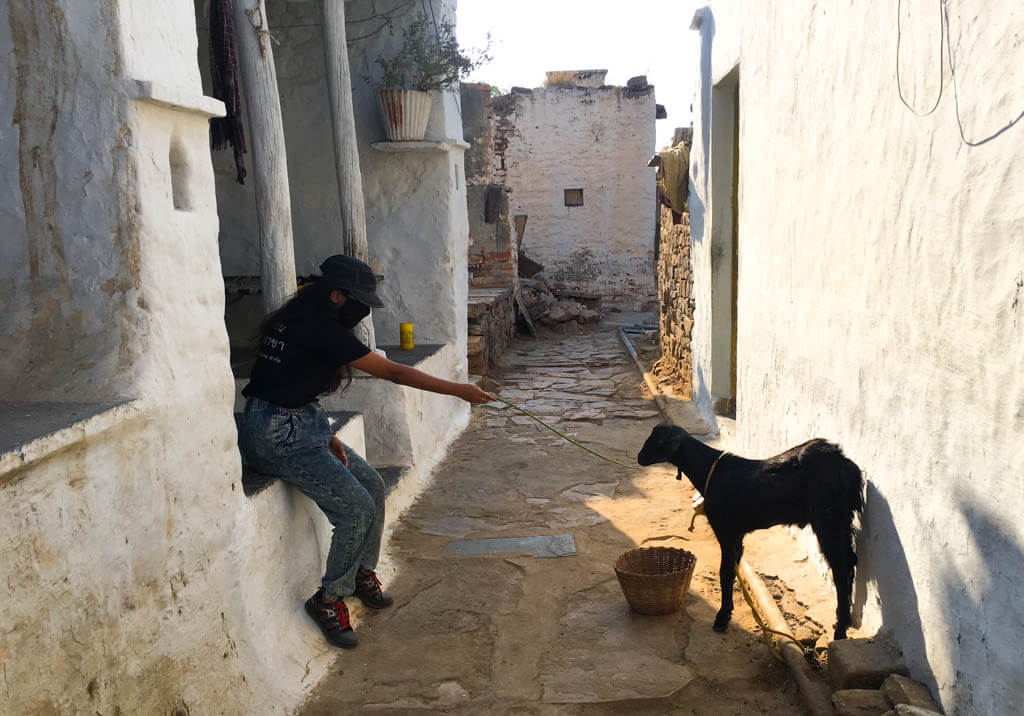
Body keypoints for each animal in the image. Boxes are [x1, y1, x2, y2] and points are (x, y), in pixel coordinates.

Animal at [638, 426, 864, 639]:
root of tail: (847, 466)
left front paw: (721, 618)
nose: (640, 458)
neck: (710, 472)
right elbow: (733, 569)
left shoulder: (726, 531)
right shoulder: (737, 535)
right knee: (850, 561)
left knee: (841, 567)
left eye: (659, 441)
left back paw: (840, 629)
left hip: (829, 521)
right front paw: (727, 610)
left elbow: (725, 573)